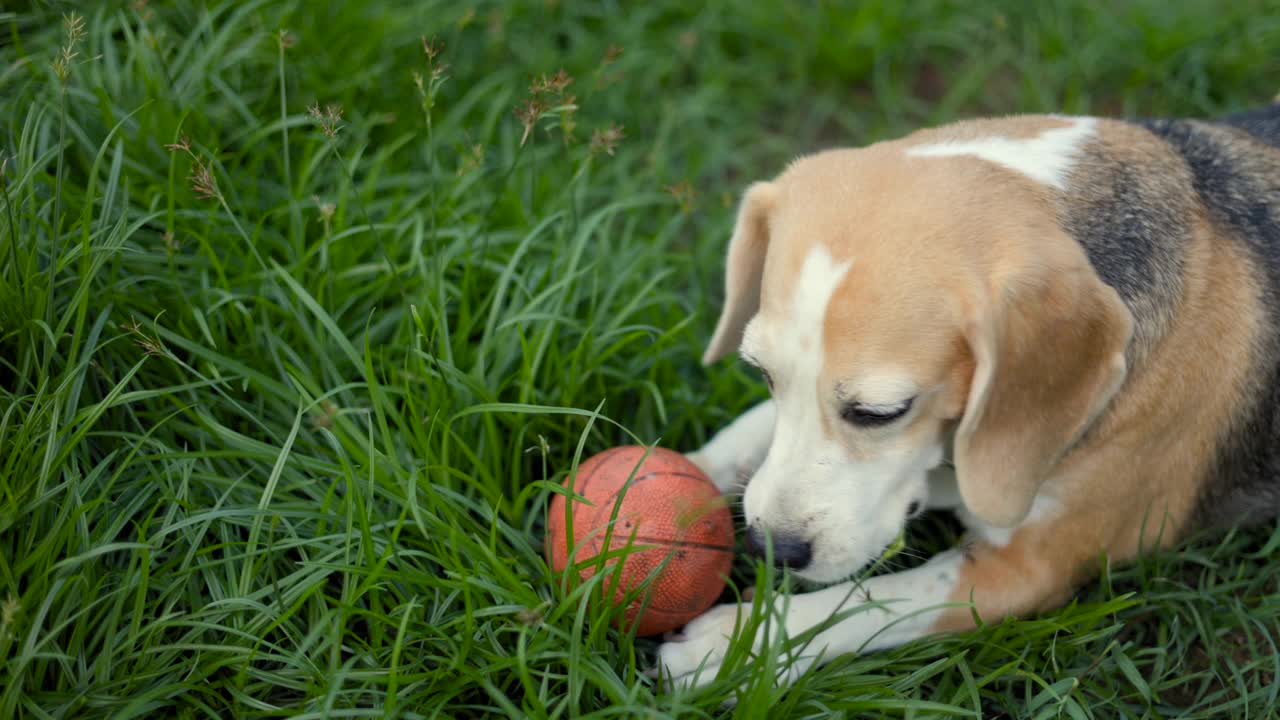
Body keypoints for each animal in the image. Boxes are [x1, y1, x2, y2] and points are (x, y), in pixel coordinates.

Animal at [655, 103, 1280, 686]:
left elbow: (871, 602)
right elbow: (746, 434)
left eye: (882, 412)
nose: (771, 549)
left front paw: (736, 645)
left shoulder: (1026, 570)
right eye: (762, 373)